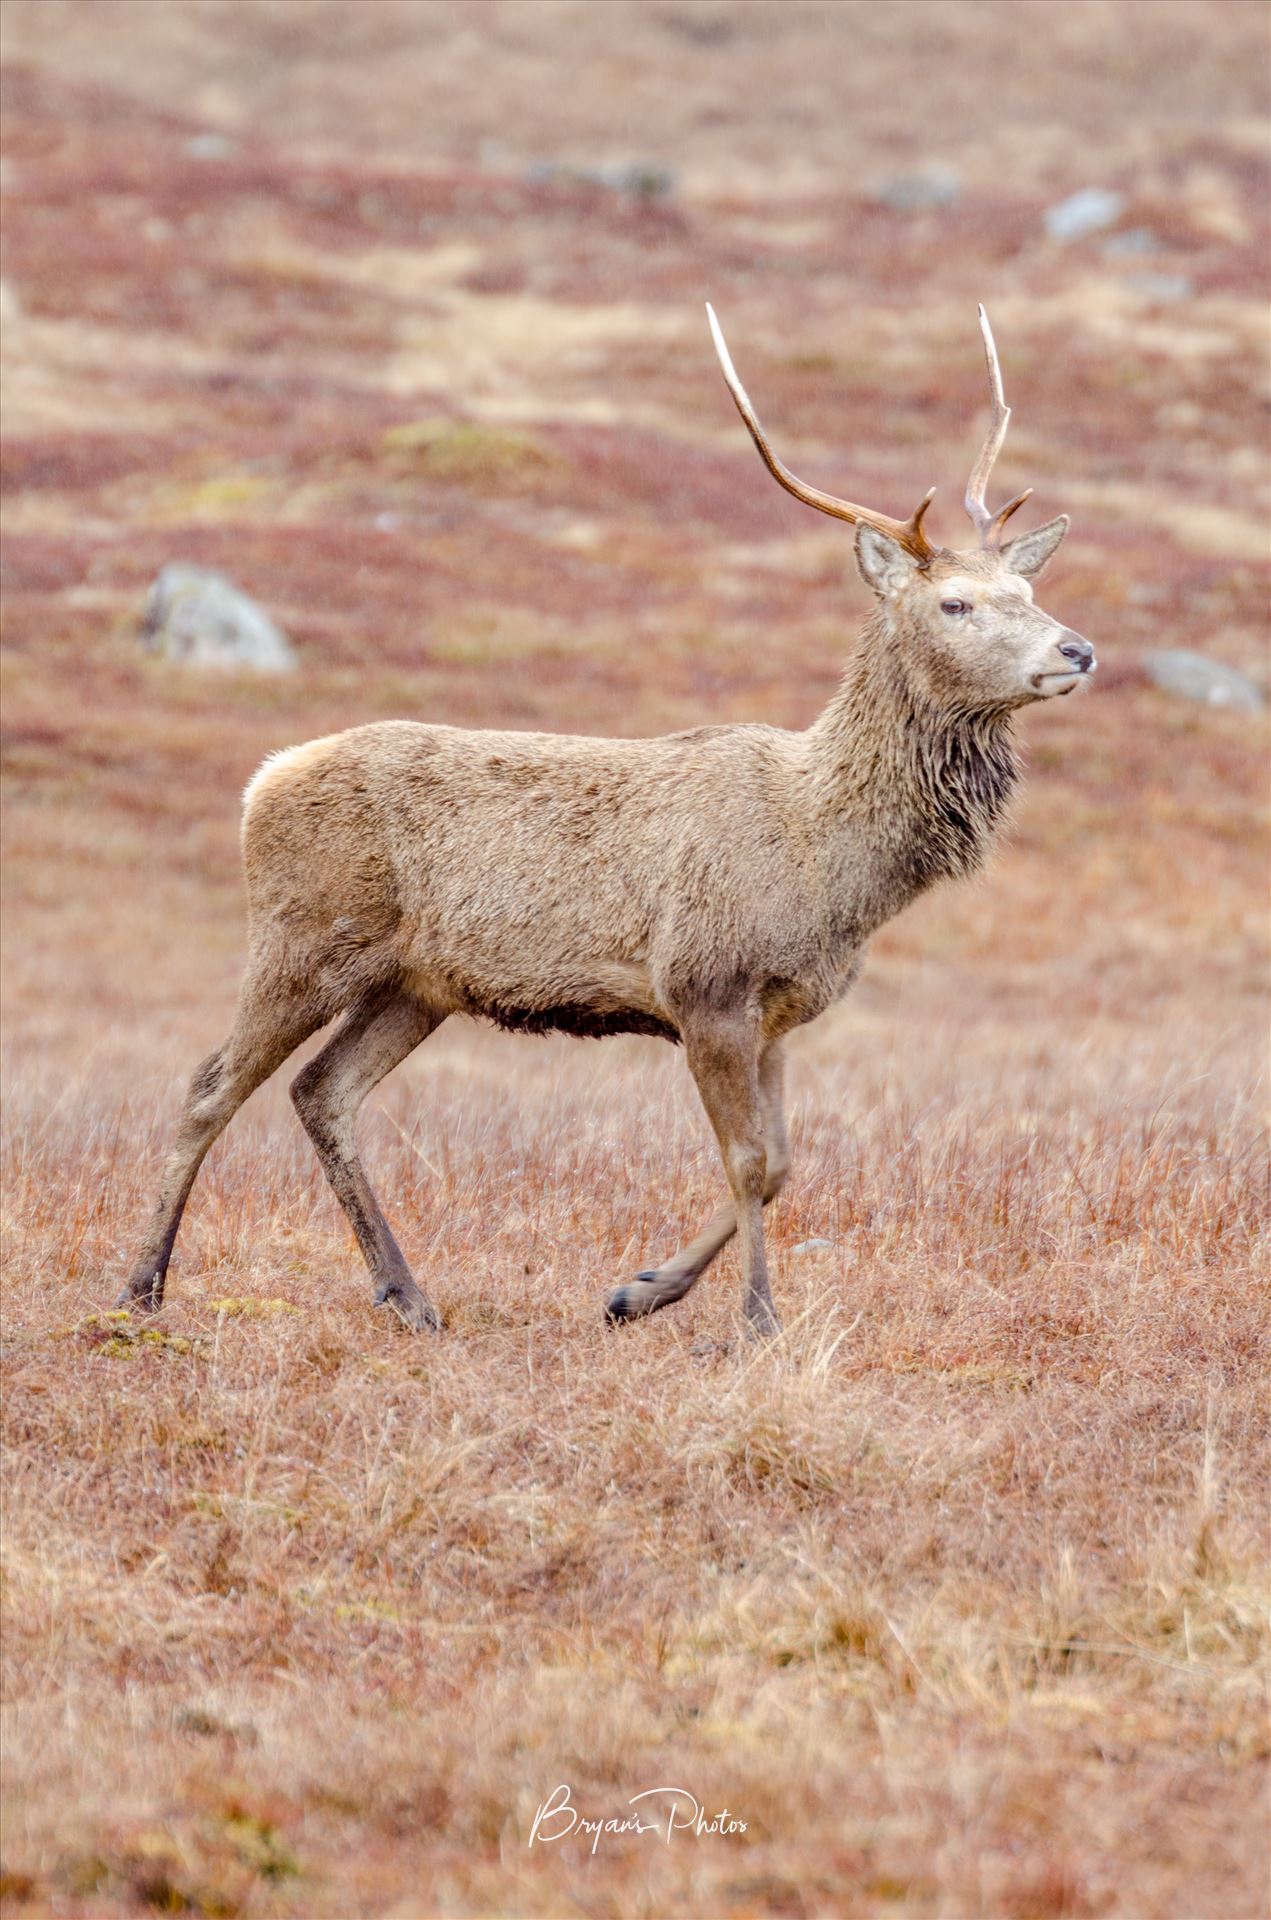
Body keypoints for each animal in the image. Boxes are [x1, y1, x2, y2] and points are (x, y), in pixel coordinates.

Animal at [117, 307, 1098, 1344]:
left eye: (1029, 596)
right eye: (954, 603)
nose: (1076, 649)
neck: (829, 868)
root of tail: (261, 782)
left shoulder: (779, 1009)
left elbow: (782, 1164)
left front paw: (638, 1290)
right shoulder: (704, 982)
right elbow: (749, 1162)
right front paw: (754, 1319)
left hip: (414, 983)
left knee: (321, 1092)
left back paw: (407, 1294)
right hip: (301, 936)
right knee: (210, 1084)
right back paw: (141, 1287)